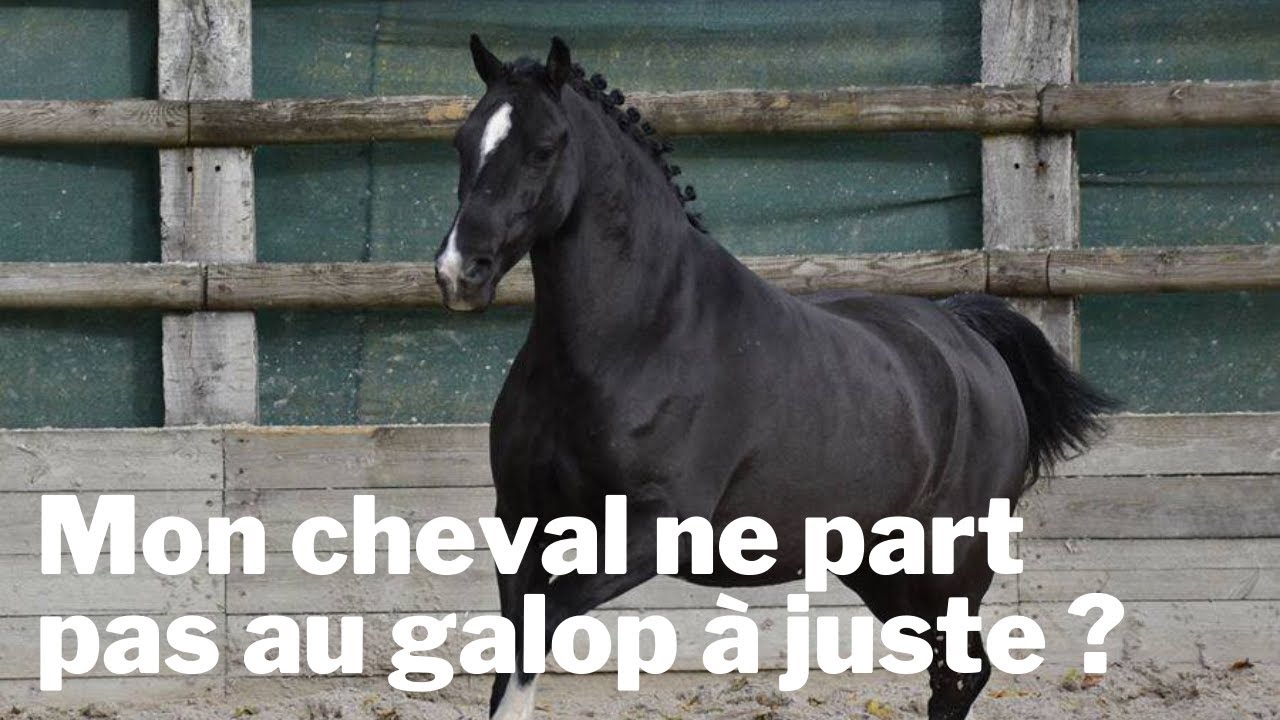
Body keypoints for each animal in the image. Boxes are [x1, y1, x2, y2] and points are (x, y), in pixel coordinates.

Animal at [433, 36, 1116, 720]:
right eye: (462, 143)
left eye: (545, 148)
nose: (460, 272)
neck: (639, 335)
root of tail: (965, 335)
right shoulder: (521, 523)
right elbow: (513, 645)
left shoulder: (654, 530)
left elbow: (540, 627)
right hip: (881, 568)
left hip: (949, 568)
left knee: (960, 674)